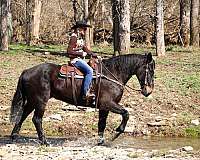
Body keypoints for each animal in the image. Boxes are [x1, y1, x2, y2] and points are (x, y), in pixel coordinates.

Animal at [10, 52, 155, 145]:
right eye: (150, 70)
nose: (148, 91)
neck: (112, 73)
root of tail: (27, 71)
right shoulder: (108, 103)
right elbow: (126, 113)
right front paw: (118, 131)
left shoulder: (103, 107)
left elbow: (101, 124)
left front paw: (101, 142)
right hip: (40, 101)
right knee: (37, 119)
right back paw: (44, 141)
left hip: (32, 101)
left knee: (22, 115)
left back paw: (14, 136)